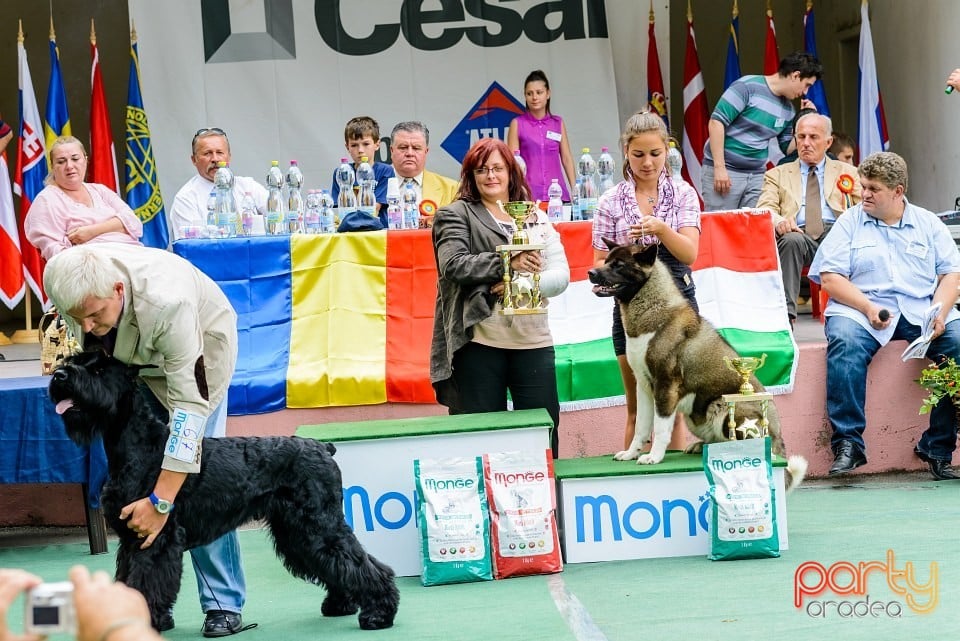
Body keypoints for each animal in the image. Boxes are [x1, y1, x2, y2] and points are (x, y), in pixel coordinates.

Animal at [49, 352, 398, 632]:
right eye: (74, 360)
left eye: (98, 370)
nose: (59, 376)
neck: (139, 445)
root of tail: (322, 447)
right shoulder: (130, 538)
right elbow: (126, 579)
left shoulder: (157, 537)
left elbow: (146, 582)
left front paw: (144, 620)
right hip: (297, 532)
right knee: (336, 562)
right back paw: (341, 604)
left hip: (318, 525)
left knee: (361, 563)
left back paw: (379, 614)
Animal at [588, 240, 808, 490]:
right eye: (606, 261)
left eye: (619, 265)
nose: (591, 273)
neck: (652, 309)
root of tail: (779, 439)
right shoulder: (643, 387)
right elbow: (641, 427)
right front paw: (631, 453)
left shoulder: (665, 385)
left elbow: (660, 428)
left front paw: (653, 457)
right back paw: (701, 446)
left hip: (724, 409)